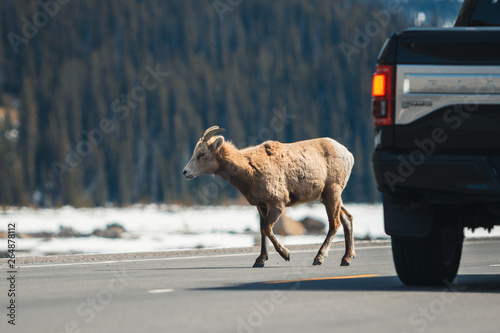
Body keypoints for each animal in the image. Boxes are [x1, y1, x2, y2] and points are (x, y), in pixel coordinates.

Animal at [184, 126, 356, 266]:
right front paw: (260, 260)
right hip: (328, 198)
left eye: (201, 154)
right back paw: (346, 258)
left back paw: (319, 258)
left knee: (334, 224)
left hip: (332, 193)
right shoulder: (261, 206)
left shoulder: (277, 204)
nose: (185, 172)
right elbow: (262, 231)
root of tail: (349, 155)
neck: (249, 170)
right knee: (347, 219)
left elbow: (267, 229)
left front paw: (285, 254)